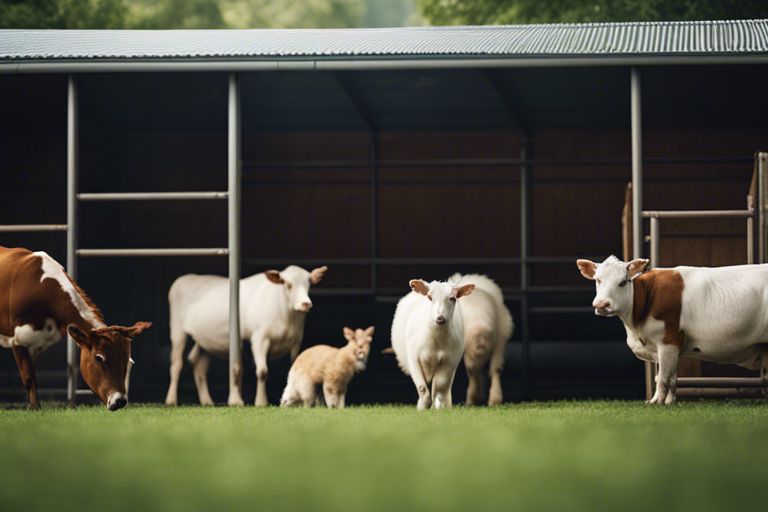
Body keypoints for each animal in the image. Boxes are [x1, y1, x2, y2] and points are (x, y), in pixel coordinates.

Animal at [0, 246, 153, 410]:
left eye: (129, 362)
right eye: (99, 357)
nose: (120, 401)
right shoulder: (18, 339)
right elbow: (28, 377)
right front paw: (34, 407)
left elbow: (32, 374)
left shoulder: (36, 343)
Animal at [165, 266, 328, 406]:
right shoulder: (259, 338)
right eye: (288, 284)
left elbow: (294, 369)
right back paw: (171, 400)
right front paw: (260, 402)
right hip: (177, 330)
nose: (305, 303)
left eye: (309, 283)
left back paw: (207, 401)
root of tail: (187, 277)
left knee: (199, 366)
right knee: (176, 364)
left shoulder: (296, 341)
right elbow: (262, 371)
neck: (286, 319)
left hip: (203, 339)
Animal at [390, 278, 474, 410]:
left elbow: (439, 388)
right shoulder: (413, 358)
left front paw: (437, 408)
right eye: (429, 297)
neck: (435, 341)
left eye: (452, 298)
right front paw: (423, 407)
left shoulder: (450, 361)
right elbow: (422, 388)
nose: (440, 318)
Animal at [450, 274, 516, 406]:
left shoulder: (499, 341)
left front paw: (495, 399)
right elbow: (471, 370)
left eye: (485, 337)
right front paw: (471, 398)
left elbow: (495, 368)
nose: (480, 345)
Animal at [576, 258, 768, 406]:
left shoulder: (668, 340)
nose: (602, 304)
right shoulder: (669, 347)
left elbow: (662, 378)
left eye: (623, 282)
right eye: (598, 279)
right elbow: (671, 376)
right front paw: (669, 402)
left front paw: (656, 402)